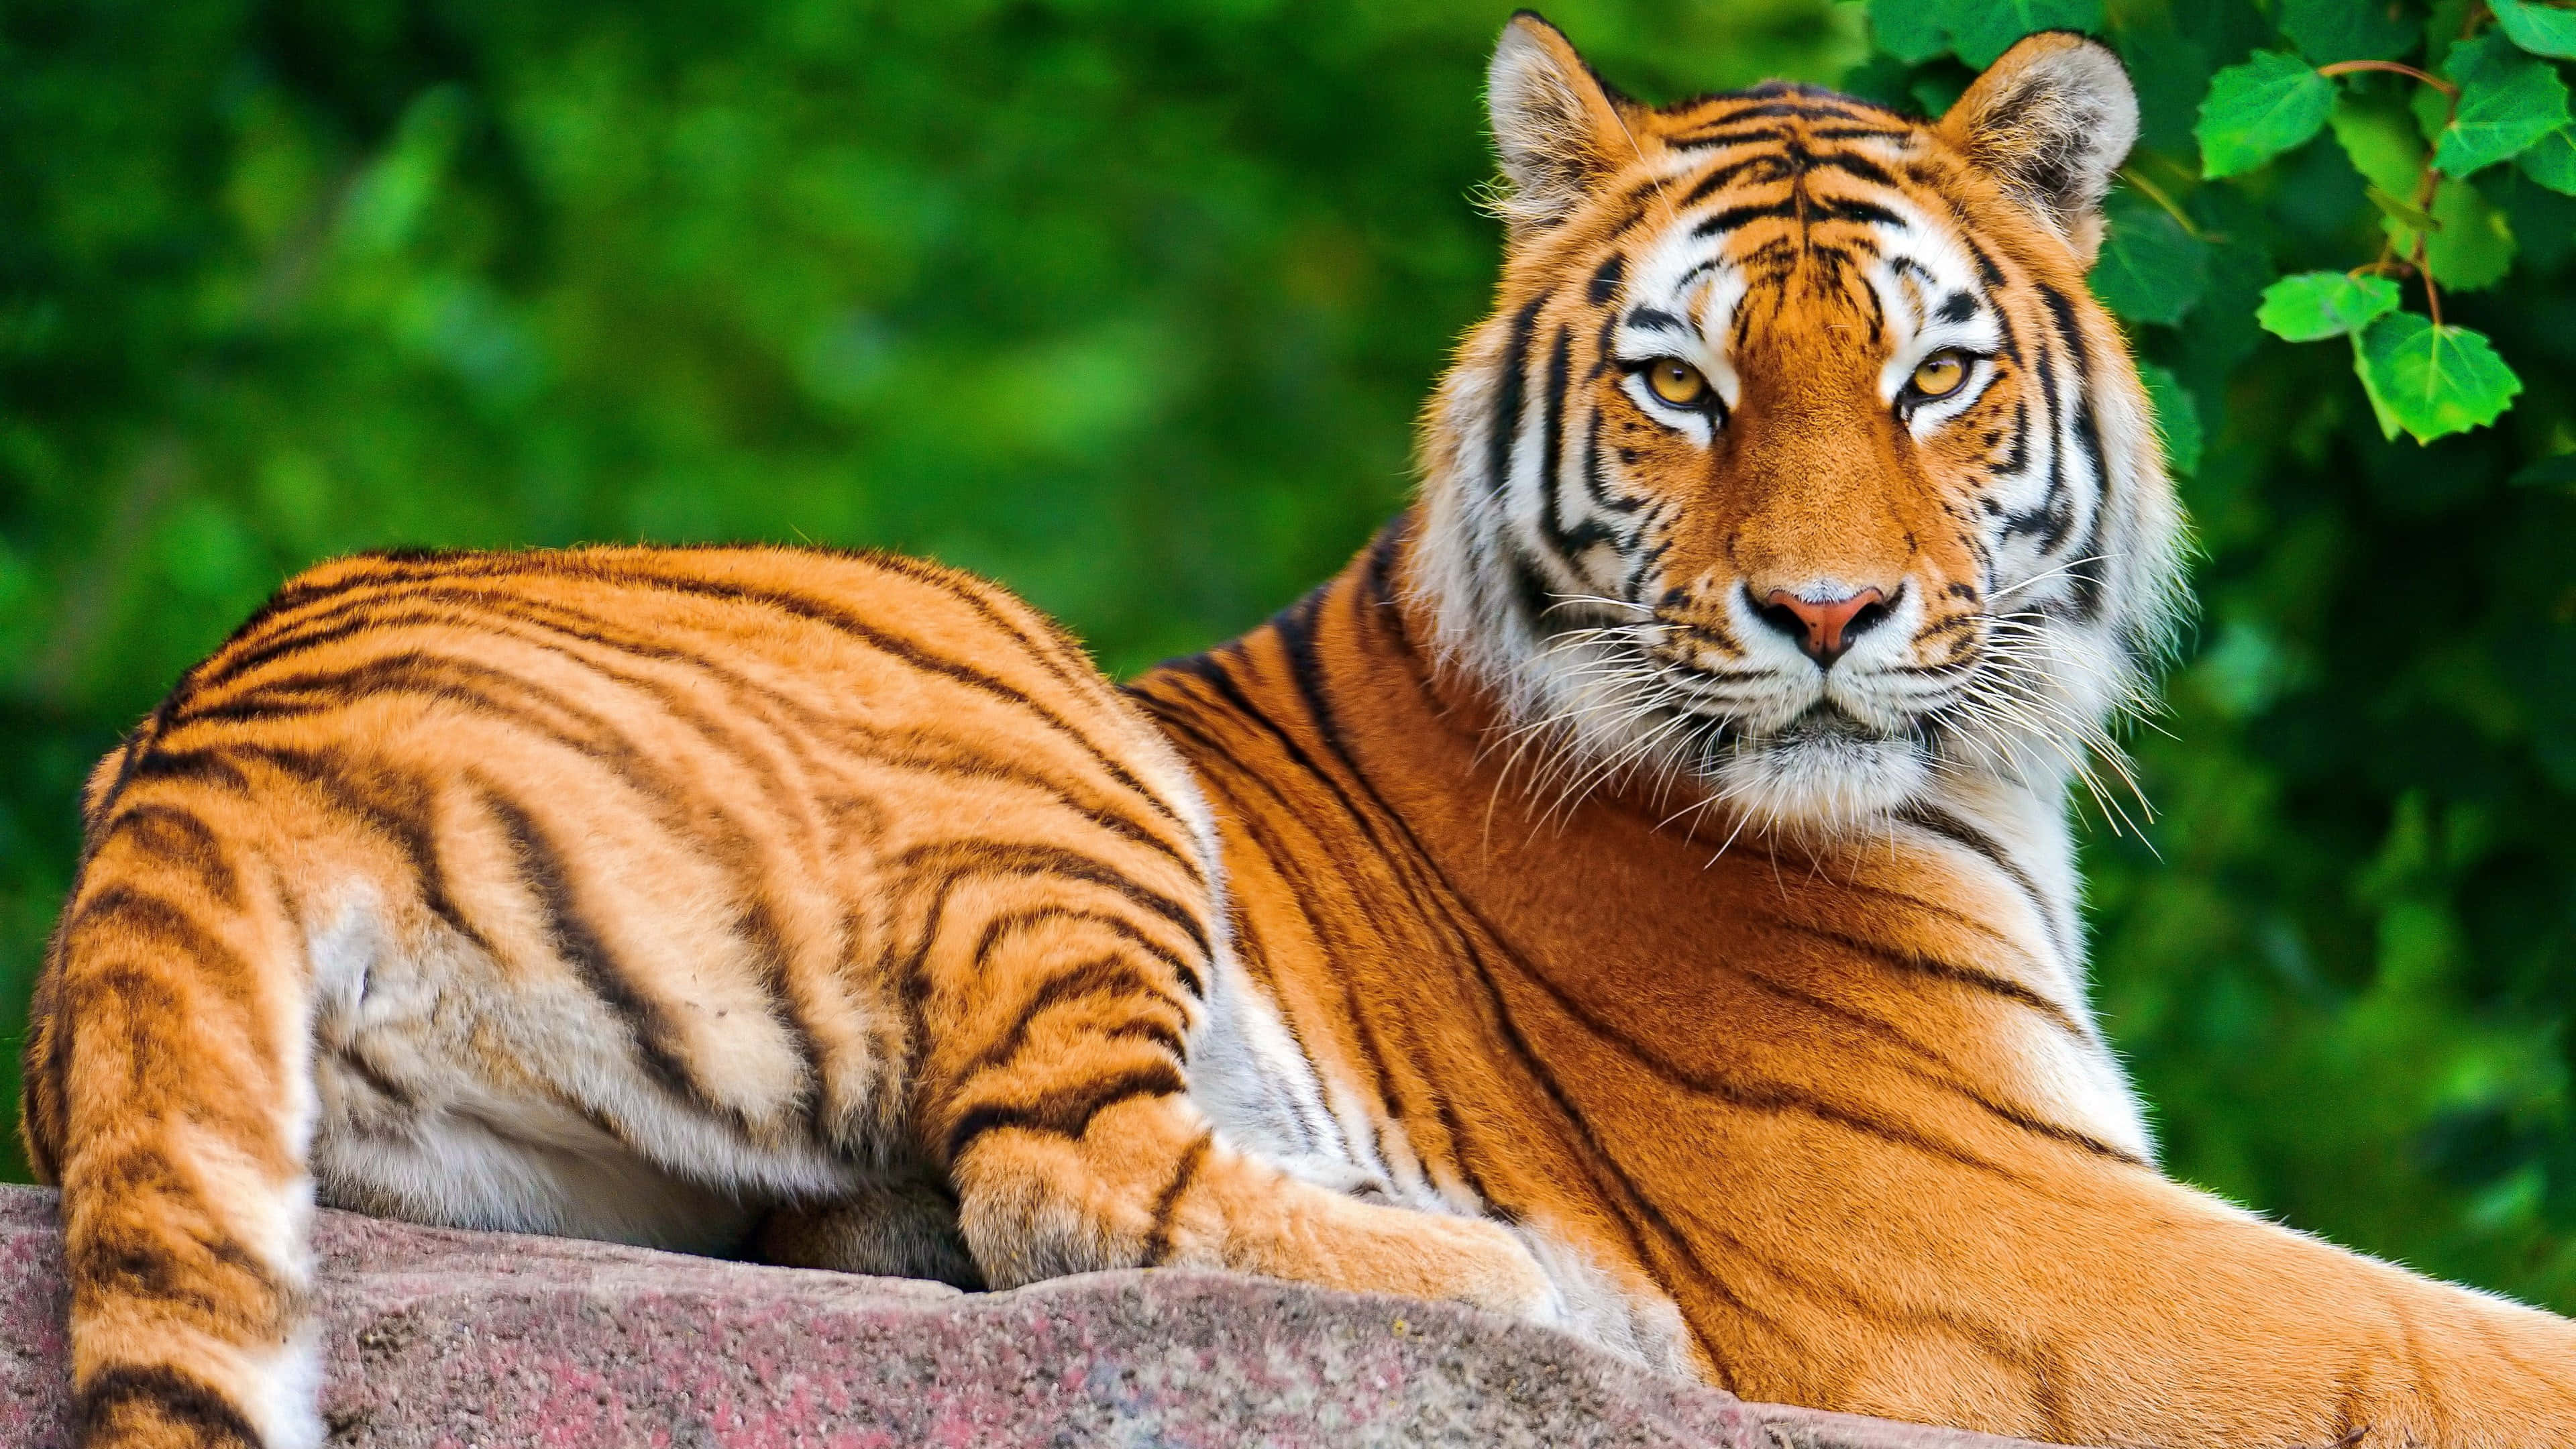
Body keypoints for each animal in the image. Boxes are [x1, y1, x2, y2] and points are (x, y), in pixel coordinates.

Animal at [23, 12, 2576, 1449]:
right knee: (1060, 1175)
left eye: (1933, 376)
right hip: (1023, 715)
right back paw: (1558, 1304)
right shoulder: (1984, 1223)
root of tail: (199, 741)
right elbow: (2453, 1351)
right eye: (1682, 384)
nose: (1829, 614)